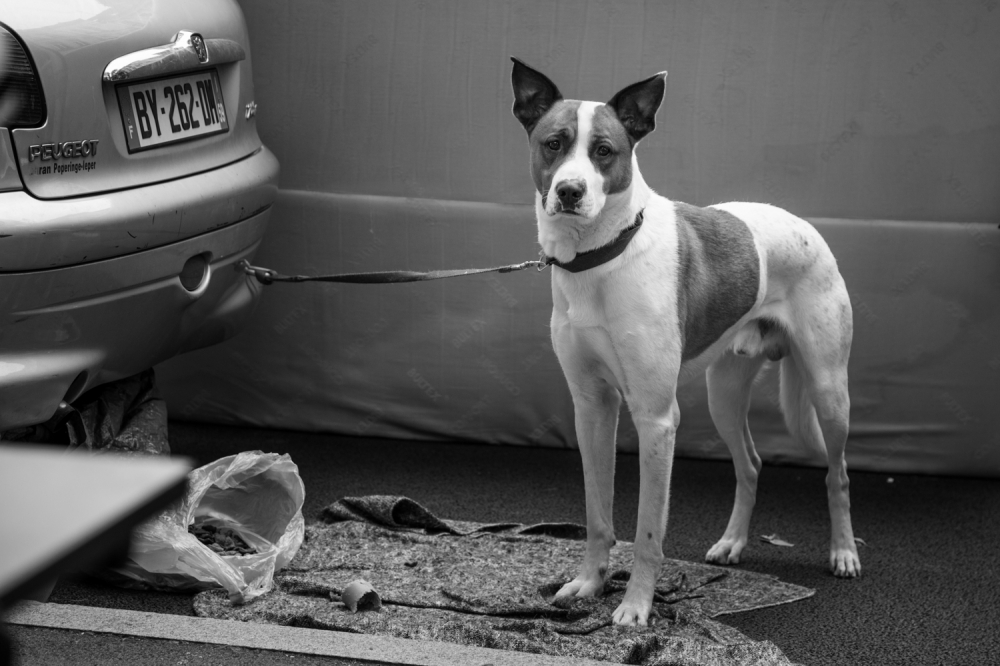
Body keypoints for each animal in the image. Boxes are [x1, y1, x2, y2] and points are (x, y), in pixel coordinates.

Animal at [510, 57, 860, 627]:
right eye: (553, 143)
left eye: (603, 150)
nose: (569, 192)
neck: (600, 257)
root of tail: (804, 224)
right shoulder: (592, 407)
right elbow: (598, 513)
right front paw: (589, 583)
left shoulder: (656, 418)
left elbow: (648, 532)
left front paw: (635, 608)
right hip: (724, 395)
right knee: (751, 464)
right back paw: (732, 544)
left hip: (829, 389)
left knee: (838, 473)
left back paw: (844, 552)